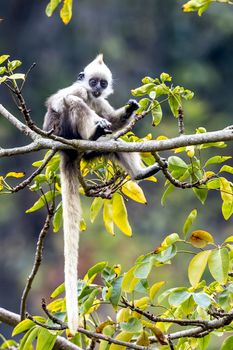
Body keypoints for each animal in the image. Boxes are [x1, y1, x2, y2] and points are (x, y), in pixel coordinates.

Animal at [43, 54, 164, 334]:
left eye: (103, 83)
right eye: (93, 81)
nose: (97, 88)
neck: (91, 96)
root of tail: (68, 150)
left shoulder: (99, 101)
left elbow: (115, 120)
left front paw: (131, 108)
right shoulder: (78, 92)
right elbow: (61, 100)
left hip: (91, 150)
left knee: (113, 142)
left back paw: (138, 173)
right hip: (64, 131)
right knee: (72, 103)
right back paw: (94, 131)